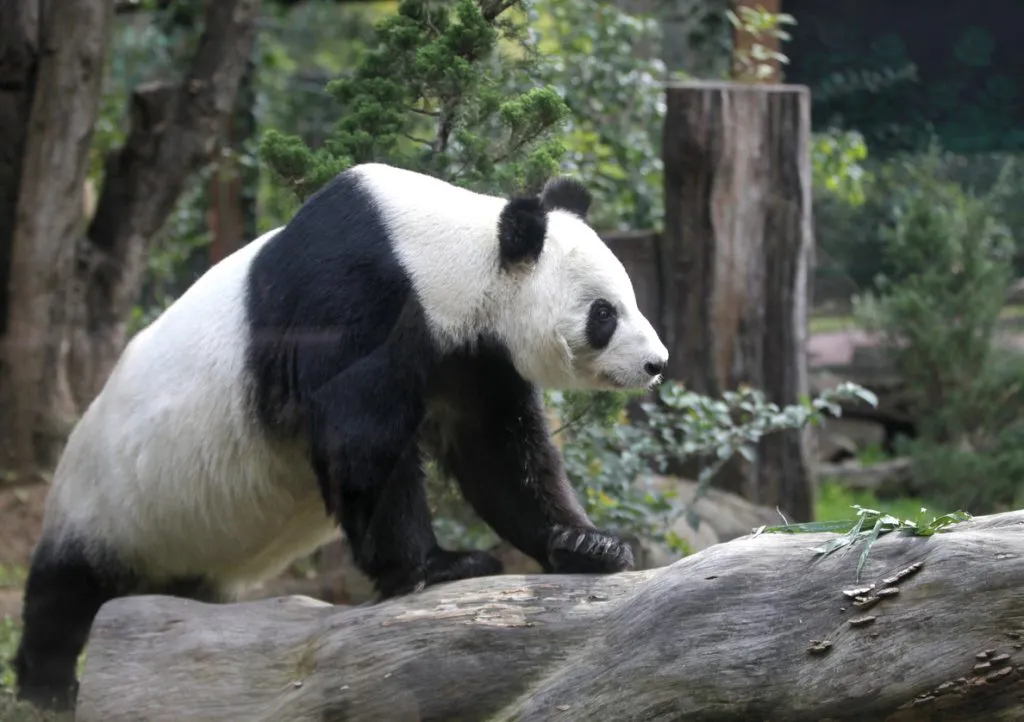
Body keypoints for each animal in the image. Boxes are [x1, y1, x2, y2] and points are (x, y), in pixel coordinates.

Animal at [13, 162, 669, 710]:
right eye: (605, 313)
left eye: (634, 299)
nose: (657, 363)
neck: (442, 254)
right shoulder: (357, 295)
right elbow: (360, 435)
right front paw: (441, 566)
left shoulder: (473, 357)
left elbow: (499, 455)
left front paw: (588, 545)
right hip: (100, 493)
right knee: (64, 590)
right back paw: (46, 687)